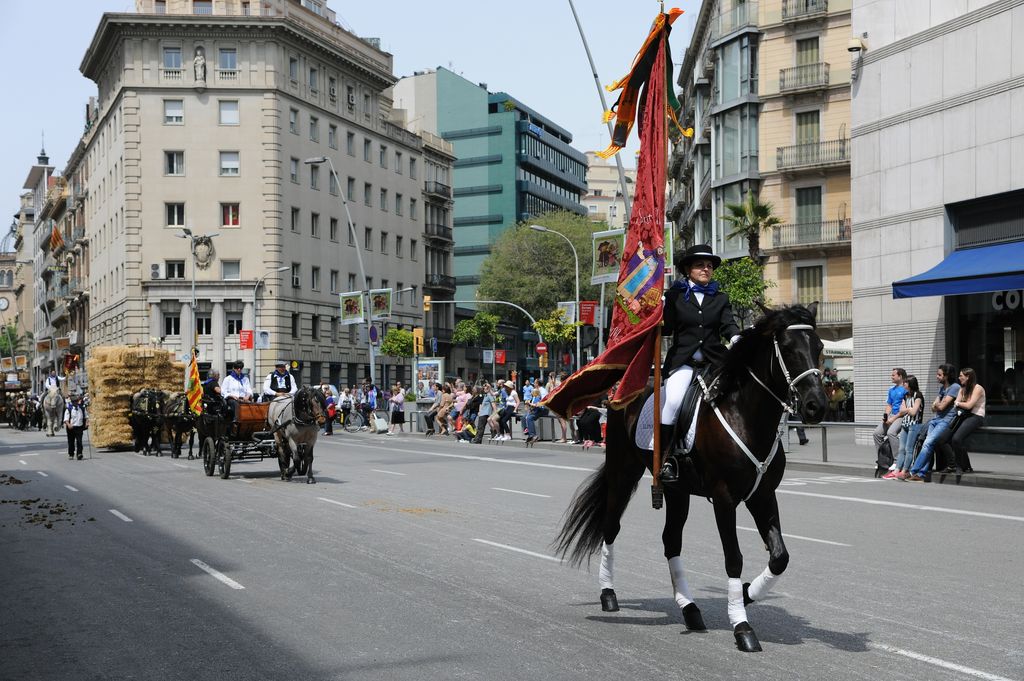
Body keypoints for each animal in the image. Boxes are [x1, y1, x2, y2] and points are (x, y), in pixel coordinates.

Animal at [557, 305, 827, 651]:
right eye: (790, 350)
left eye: (819, 348)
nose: (816, 406)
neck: (747, 416)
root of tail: (621, 393)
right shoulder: (725, 499)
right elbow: (733, 559)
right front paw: (742, 626)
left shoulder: (762, 494)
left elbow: (780, 557)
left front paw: (744, 594)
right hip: (622, 471)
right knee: (611, 527)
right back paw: (608, 595)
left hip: (677, 491)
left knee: (671, 540)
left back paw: (690, 609)